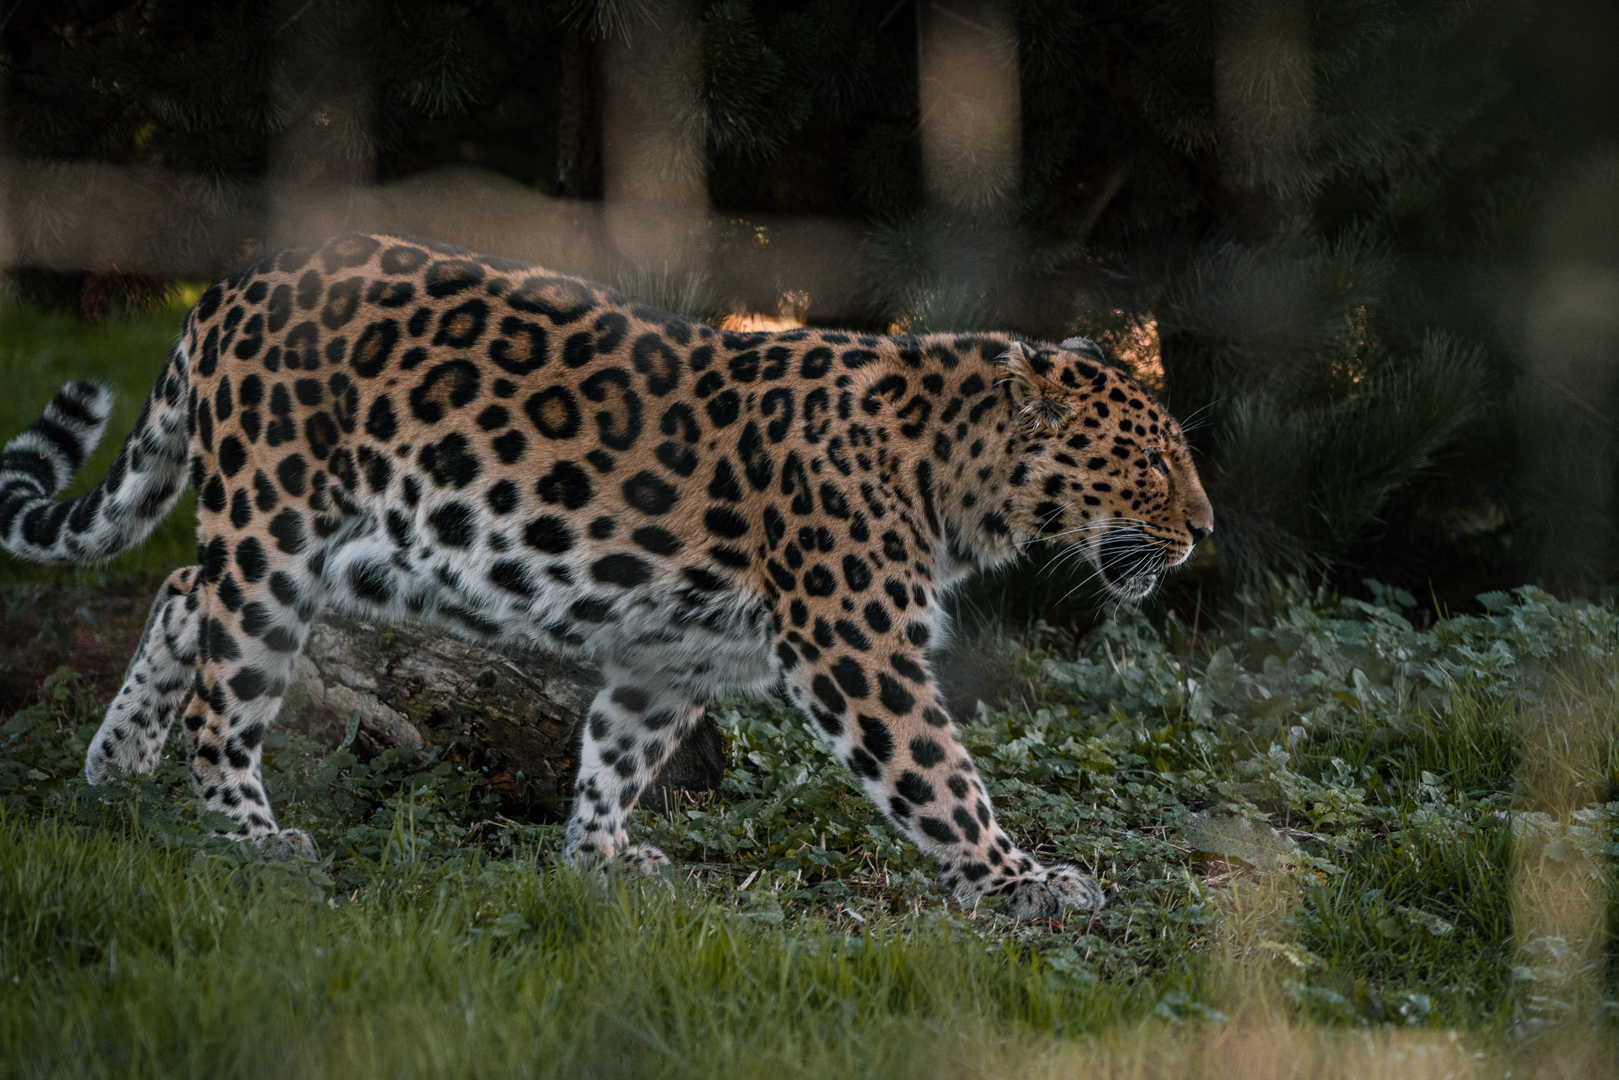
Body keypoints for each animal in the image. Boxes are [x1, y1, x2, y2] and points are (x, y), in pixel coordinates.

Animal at [0, 232, 1212, 919]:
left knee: (180, 594)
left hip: (361, 549)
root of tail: (229, 285)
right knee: (226, 692)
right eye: (1152, 460)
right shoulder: (855, 651)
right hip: (281, 526)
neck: (953, 478)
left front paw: (598, 859)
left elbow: (618, 751)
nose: (1202, 530)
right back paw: (247, 838)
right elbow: (941, 780)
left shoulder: (673, 656)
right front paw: (1022, 884)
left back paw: (113, 773)